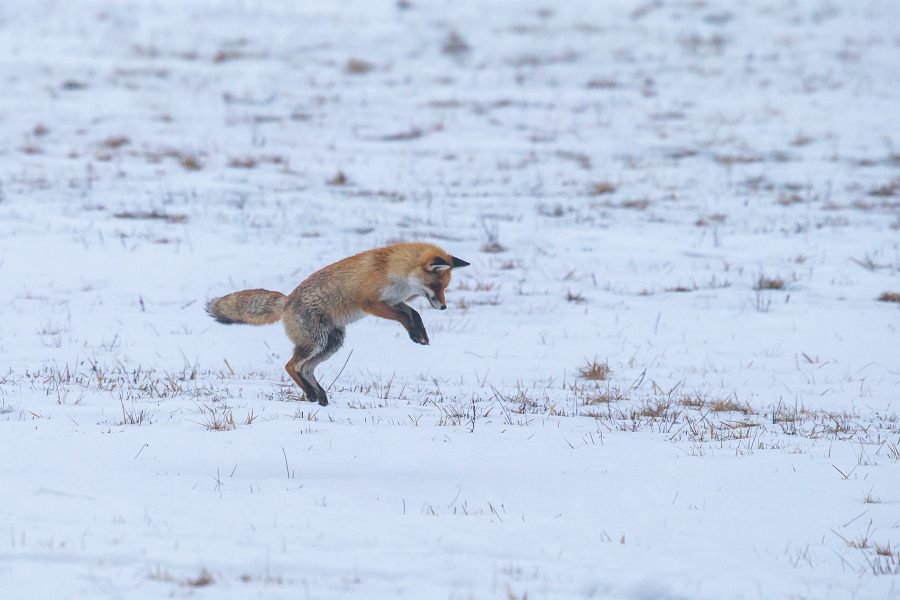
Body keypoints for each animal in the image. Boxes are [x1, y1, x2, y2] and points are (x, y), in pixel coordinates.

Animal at [207, 241, 468, 406]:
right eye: (436, 286)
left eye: (445, 287)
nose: (444, 307)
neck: (394, 269)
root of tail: (286, 301)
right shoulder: (371, 303)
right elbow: (404, 317)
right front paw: (416, 334)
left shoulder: (393, 301)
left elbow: (414, 315)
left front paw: (420, 334)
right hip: (317, 341)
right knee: (291, 366)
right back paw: (311, 394)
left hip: (331, 342)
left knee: (306, 369)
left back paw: (319, 395)